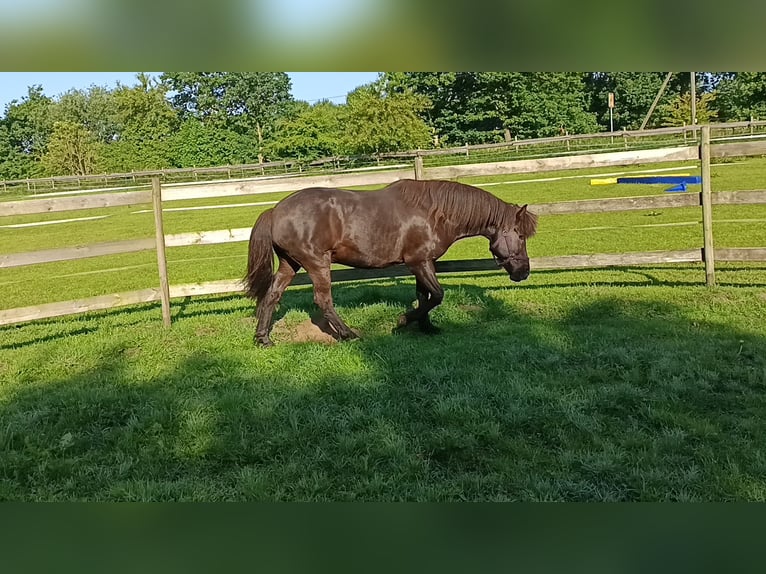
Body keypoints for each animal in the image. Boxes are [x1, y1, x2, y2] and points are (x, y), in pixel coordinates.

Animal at [244, 179, 537, 347]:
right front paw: (403, 321)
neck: (433, 213)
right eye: (521, 235)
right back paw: (349, 335)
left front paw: (426, 327)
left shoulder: (423, 263)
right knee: (323, 301)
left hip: (289, 264)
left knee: (271, 296)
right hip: (317, 263)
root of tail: (275, 210)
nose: (523, 272)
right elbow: (437, 295)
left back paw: (263, 339)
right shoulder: (419, 261)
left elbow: (424, 295)